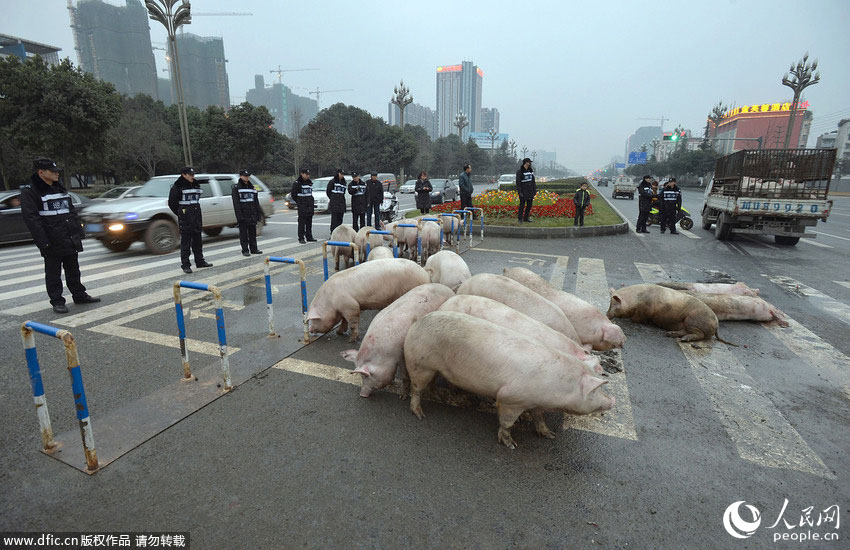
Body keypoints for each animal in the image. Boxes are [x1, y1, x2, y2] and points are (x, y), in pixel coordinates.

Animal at [404, 311, 615, 449]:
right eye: (596, 390)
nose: (612, 399)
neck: (556, 387)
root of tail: (416, 323)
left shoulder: (535, 401)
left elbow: (539, 417)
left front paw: (549, 435)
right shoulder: (510, 398)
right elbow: (507, 422)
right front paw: (511, 445)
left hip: (433, 367)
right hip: (419, 364)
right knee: (416, 389)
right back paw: (420, 414)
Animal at [606, 284, 736, 344]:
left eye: (614, 305)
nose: (606, 315)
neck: (636, 299)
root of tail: (717, 324)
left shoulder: (644, 312)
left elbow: (636, 319)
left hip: (693, 320)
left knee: (700, 335)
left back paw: (684, 339)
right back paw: (670, 334)